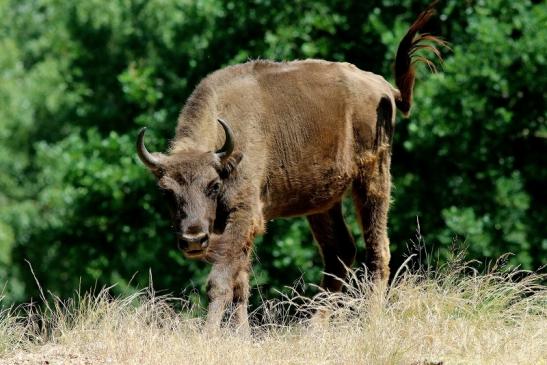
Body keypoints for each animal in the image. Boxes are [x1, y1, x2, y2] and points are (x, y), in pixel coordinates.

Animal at [136, 4, 446, 332]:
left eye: (213, 185)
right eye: (166, 192)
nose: (194, 239)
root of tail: (384, 87)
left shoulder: (243, 215)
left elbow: (220, 282)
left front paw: (209, 334)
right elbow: (240, 284)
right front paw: (241, 334)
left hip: (373, 178)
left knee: (377, 251)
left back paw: (369, 322)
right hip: (323, 202)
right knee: (339, 252)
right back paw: (314, 326)